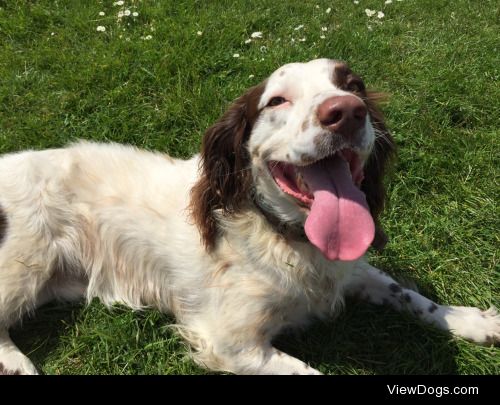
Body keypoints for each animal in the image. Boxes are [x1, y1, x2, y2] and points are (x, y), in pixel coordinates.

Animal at [0, 58, 498, 374]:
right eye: (276, 101)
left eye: (353, 85)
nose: (347, 112)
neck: (283, 235)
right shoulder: (232, 342)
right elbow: (309, 373)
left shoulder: (351, 269)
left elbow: (409, 294)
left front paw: (473, 320)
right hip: (24, 262)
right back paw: (17, 365)